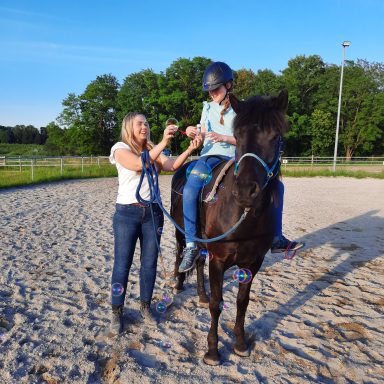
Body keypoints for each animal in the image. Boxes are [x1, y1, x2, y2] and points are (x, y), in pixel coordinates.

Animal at [170, 88, 288, 364]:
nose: (245, 190)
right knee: (182, 253)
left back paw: (200, 295)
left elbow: (242, 302)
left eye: (275, 136)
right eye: (238, 135)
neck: (243, 216)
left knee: (198, 262)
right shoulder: (219, 260)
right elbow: (217, 303)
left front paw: (240, 343)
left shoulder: (253, 262)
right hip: (181, 232)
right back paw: (178, 283)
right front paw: (212, 350)